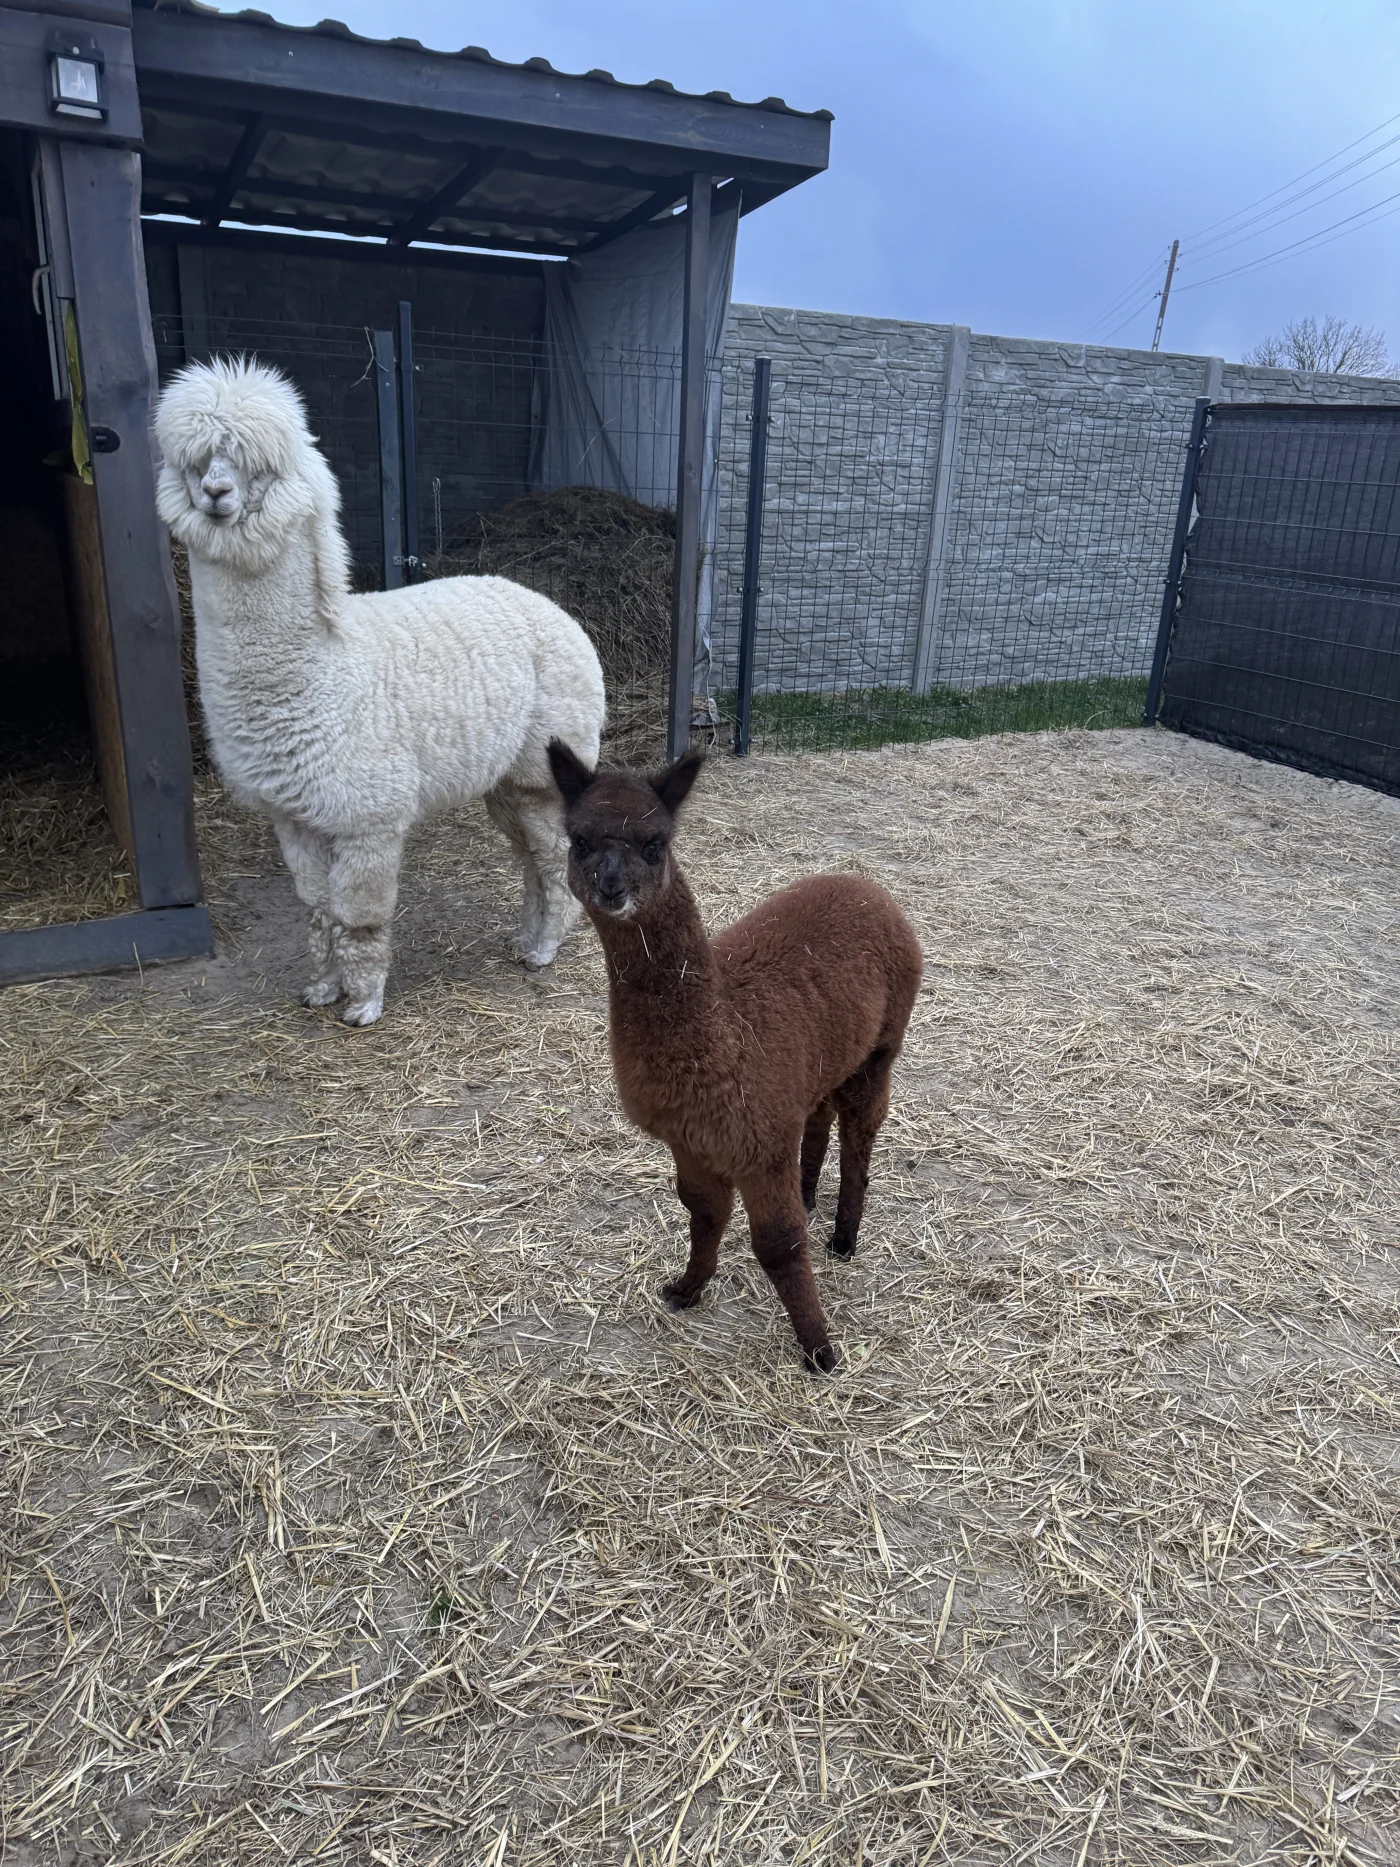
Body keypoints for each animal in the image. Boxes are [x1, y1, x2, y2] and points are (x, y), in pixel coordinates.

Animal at [154, 357, 605, 1026]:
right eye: (195, 461)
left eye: (259, 465)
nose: (215, 493)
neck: (326, 672)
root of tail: (552, 607)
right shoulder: (296, 814)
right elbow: (317, 908)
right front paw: (320, 988)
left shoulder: (368, 815)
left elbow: (359, 915)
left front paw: (364, 1003)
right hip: (503, 776)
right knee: (528, 854)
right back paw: (523, 940)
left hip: (546, 759)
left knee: (552, 855)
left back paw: (545, 949)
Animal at [548, 740, 923, 1373]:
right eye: (579, 840)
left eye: (655, 842)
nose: (612, 886)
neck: (721, 1035)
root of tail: (870, 888)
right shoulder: (692, 1141)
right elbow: (702, 1213)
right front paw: (686, 1289)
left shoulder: (758, 1145)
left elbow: (778, 1245)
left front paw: (820, 1350)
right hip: (822, 1058)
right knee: (819, 1113)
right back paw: (810, 1193)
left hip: (880, 1049)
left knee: (860, 1134)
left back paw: (844, 1238)